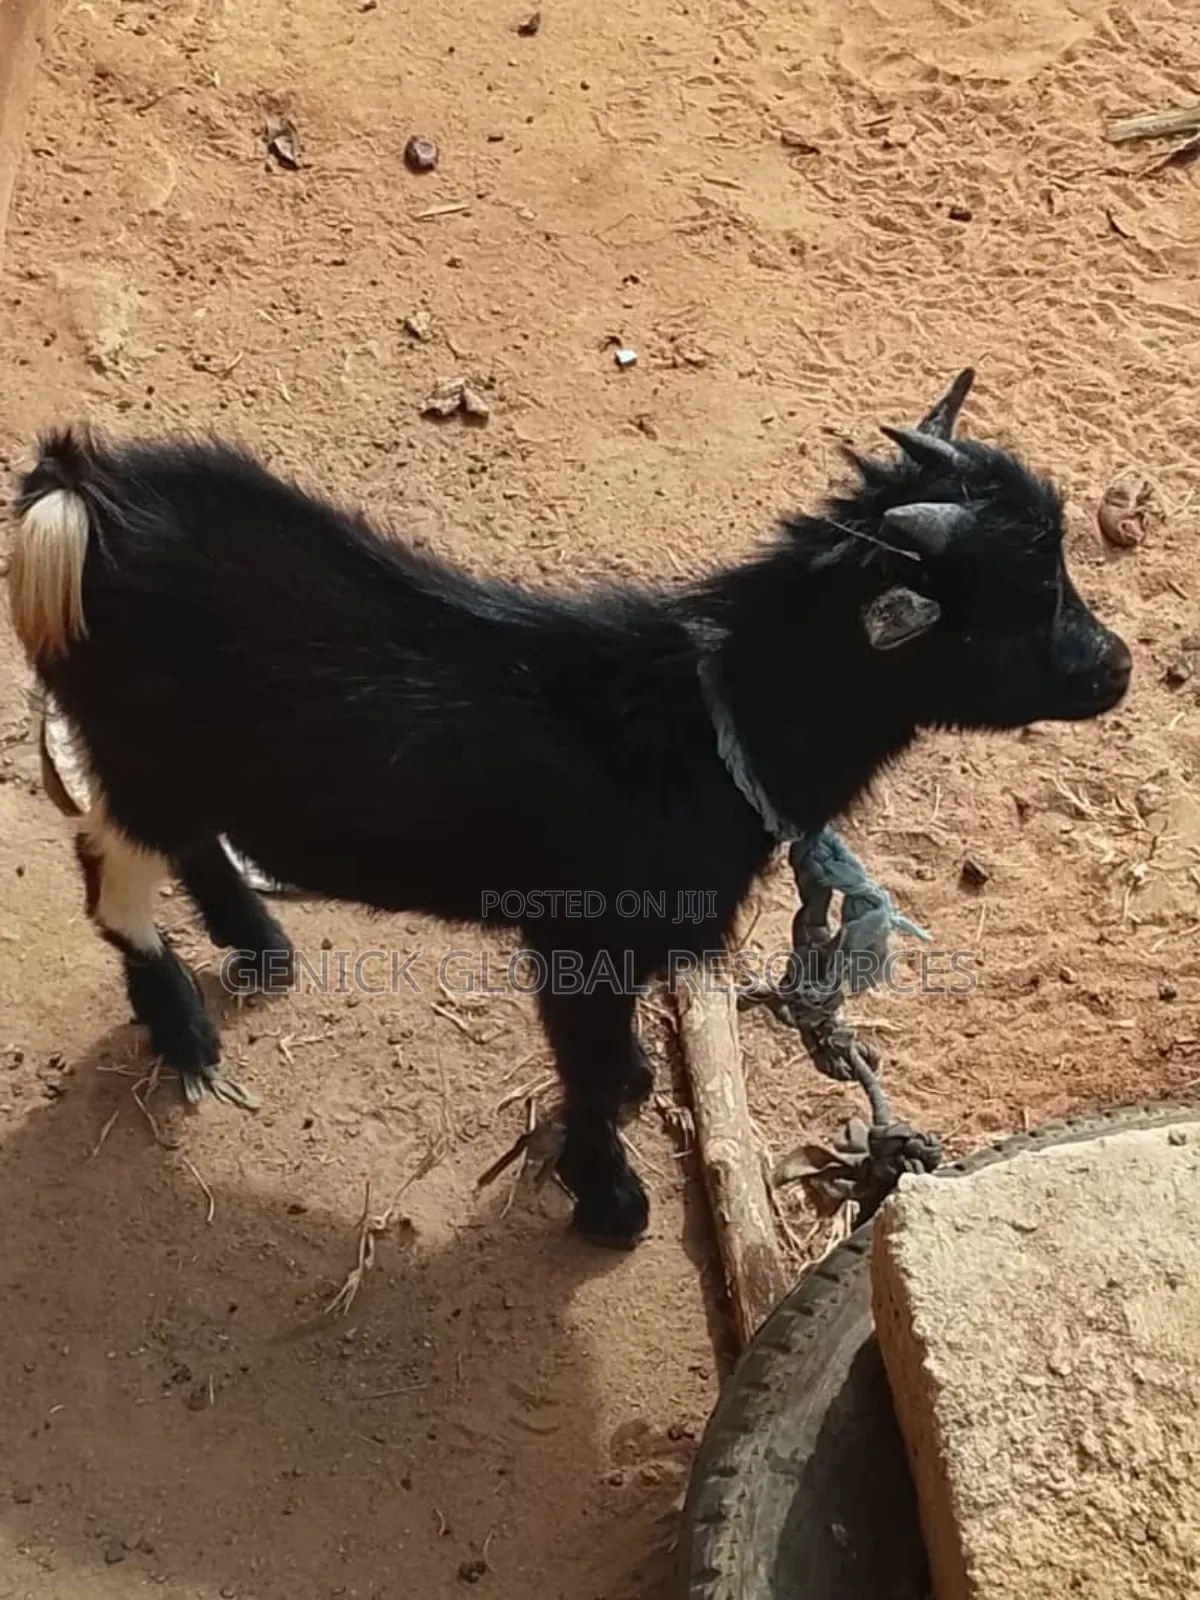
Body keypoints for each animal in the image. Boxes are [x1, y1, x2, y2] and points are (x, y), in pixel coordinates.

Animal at [7, 370, 1131, 1247]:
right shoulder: (577, 938)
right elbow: (584, 1073)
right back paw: (186, 1032)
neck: (700, 723)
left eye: (1060, 571)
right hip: (136, 753)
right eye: (1011, 608)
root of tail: (80, 492)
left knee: (192, 842)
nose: (1114, 668)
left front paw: (633, 1091)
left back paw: (260, 944)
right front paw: (610, 1200)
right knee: (109, 871)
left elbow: (612, 1064)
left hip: (188, 763)